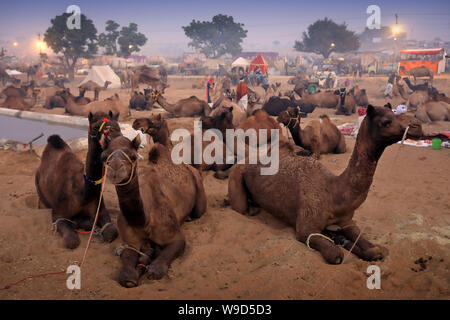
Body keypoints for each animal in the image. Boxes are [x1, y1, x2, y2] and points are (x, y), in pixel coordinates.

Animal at [34, 112, 119, 250]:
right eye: (95, 127)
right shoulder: (58, 214)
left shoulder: (100, 210)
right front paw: (79, 224)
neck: (83, 194)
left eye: (117, 123)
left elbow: (112, 231)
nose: (115, 131)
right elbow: (71, 241)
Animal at [100, 135, 206, 288]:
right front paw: (130, 277)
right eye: (104, 157)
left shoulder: (174, 235)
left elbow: (159, 265)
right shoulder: (130, 240)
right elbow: (126, 264)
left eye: (133, 156)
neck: (144, 220)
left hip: (198, 187)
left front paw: (153, 269)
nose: (115, 168)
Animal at [229, 104, 422, 262]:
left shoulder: (347, 221)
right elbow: (335, 254)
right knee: (241, 207)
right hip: (236, 176)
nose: (417, 126)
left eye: (395, 113)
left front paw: (360, 246)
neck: (333, 193)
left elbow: (372, 249)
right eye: (386, 121)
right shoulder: (306, 227)